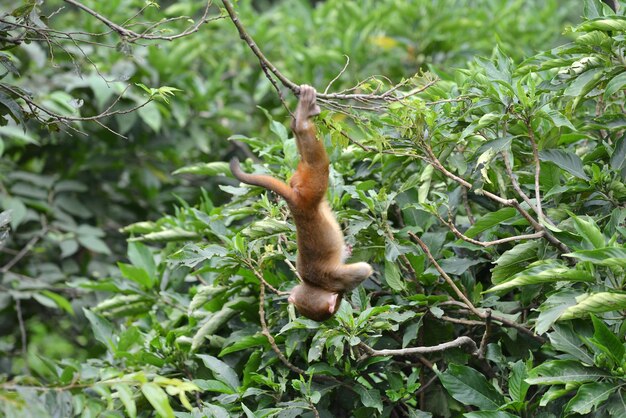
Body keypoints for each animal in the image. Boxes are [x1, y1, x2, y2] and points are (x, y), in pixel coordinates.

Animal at [229, 84, 370, 320]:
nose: (339, 301)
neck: (314, 283)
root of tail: (296, 203)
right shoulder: (335, 277)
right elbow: (363, 270)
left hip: (305, 184)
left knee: (312, 160)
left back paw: (300, 121)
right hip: (309, 187)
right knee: (316, 163)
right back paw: (302, 121)